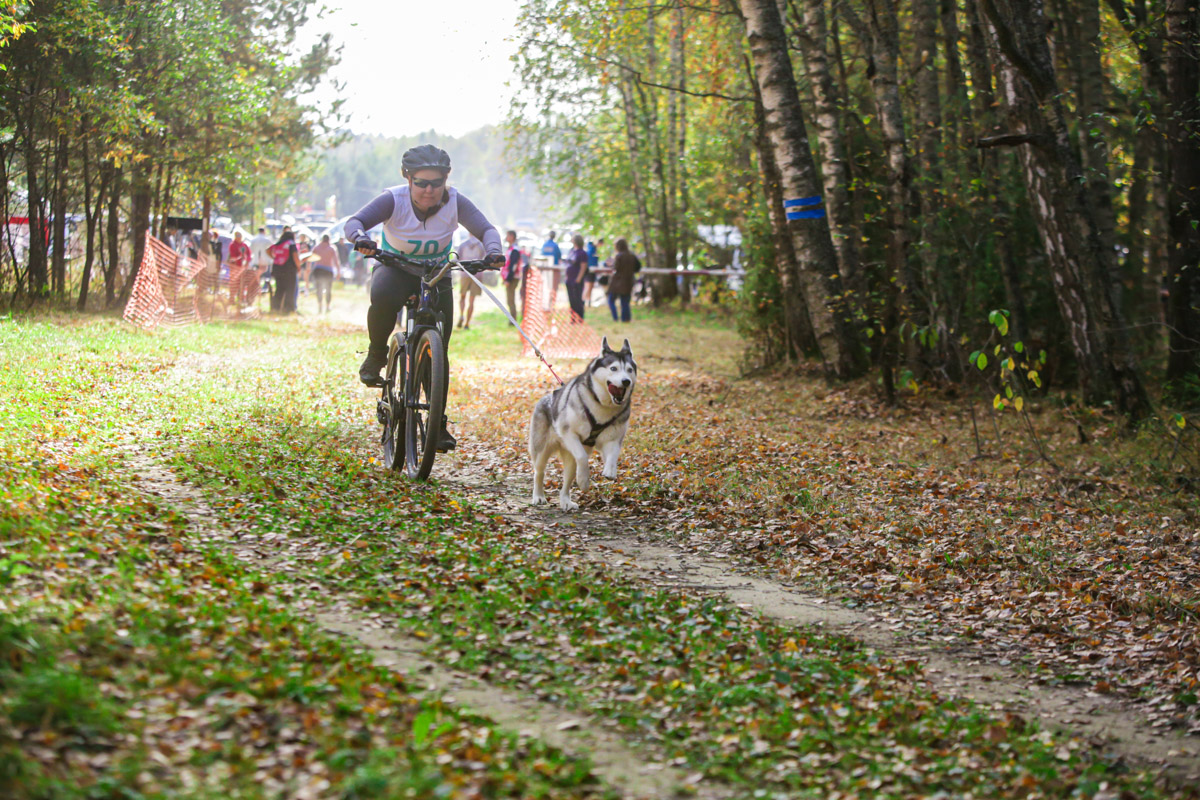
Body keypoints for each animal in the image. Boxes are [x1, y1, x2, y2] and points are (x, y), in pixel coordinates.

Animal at [528, 335, 638, 510]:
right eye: (613, 368)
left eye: (629, 370)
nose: (626, 381)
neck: (603, 406)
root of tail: (545, 398)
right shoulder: (569, 434)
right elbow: (581, 457)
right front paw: (584, 481)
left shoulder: (613, 438)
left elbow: (613, 454)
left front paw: (610, 470)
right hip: (541, 450)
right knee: (539, 472)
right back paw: (538, 496)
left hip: (568, 457)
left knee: (567, 479)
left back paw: (565, 500)